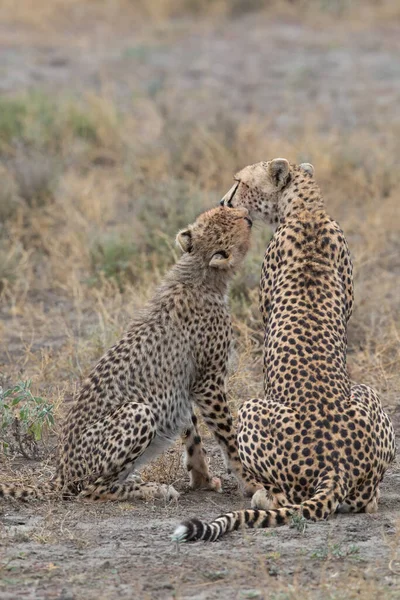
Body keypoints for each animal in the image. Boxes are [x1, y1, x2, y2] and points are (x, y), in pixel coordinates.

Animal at [0, 206, 258, 502]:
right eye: (236, 219)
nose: (247, 214)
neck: (201, 276)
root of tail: (60, 474)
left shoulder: (186, 383)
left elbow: (192, 435)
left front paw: (202, 479)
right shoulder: (209, 382)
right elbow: (228, 436)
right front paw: (251, 483)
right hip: (138, 411)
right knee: (91, 490)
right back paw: (152, 489)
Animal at [173, 157, 396, 540]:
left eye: (239, 182)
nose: (223, 200)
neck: (307, 209)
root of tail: (337, 466)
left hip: (251, 409)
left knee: (282, 497)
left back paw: (260, 494)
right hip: (367, 393)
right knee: (368, 501)